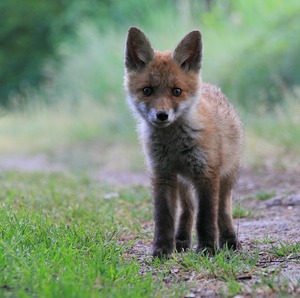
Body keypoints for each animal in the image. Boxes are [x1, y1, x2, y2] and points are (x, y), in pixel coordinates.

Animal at [124, 26, 244, 258]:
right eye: (147, 90)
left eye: (176, 91)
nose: (162, 115)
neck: (174, 146)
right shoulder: (162, 175)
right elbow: (163, 218)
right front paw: (162, 250)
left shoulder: (206, 174)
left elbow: (206, 218)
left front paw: (207, 249)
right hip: (182, 183)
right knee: (188, 210)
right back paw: (181, 241)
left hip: (225, 179)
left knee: (222, 211)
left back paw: (229, 241)